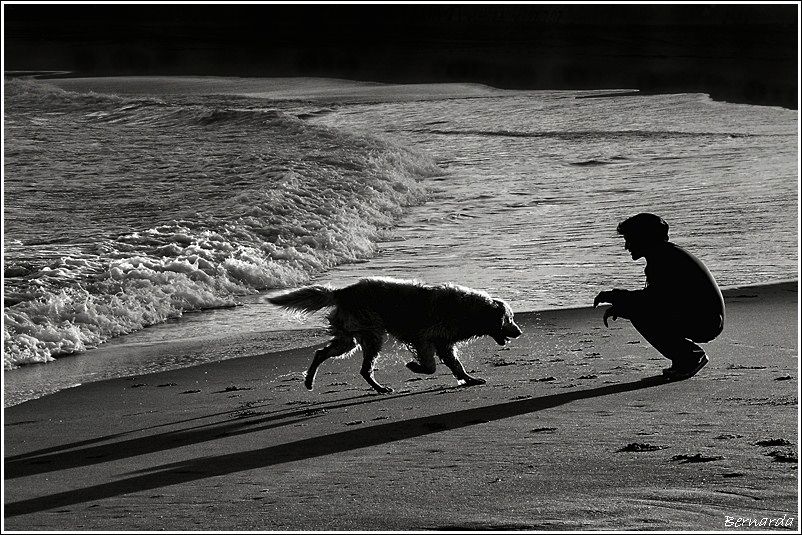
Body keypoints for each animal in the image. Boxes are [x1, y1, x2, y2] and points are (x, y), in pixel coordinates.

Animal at [266, 278, 520, 396]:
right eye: (509, 319)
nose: (519, 331)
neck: (468, 311)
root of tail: (342, 291)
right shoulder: (425, 338)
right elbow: (431, 367)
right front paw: (414, 366)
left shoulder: (443, 343)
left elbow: (456, 366)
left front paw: (469, 379)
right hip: (371, 335)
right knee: (361, 367)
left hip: (350, 338)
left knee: (323, 353)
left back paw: (310, 381)